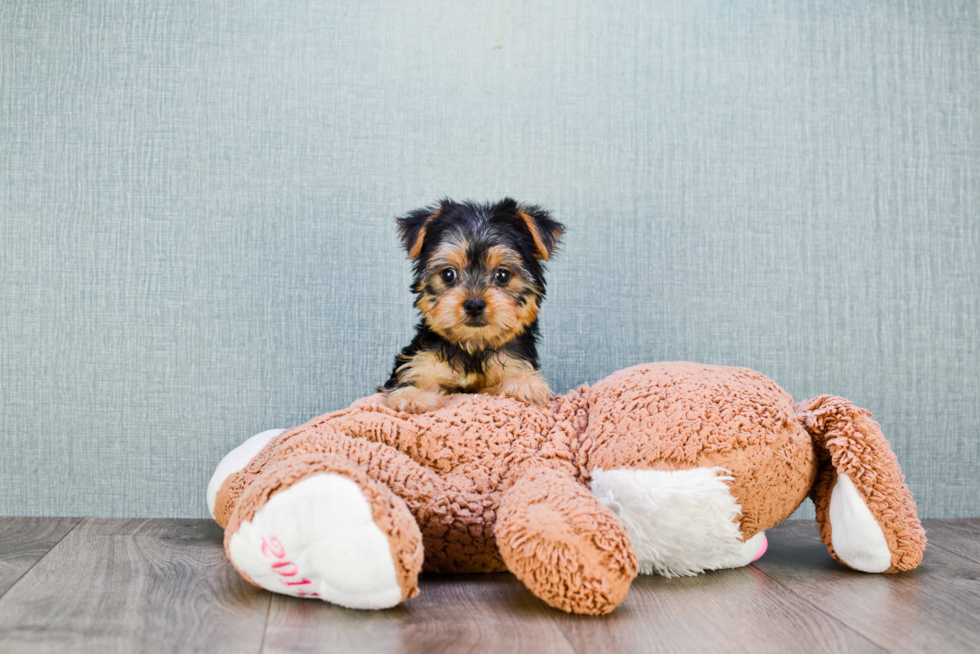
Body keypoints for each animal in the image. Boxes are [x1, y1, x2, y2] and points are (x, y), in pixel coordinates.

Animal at [382, 196, 568, 416]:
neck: (473, 347)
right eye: (448, 274)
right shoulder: (423, 361)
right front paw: (413, 396)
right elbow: (415, 378)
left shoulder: (511, 364)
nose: (474, 304)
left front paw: (525, 384)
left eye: (502, 275)